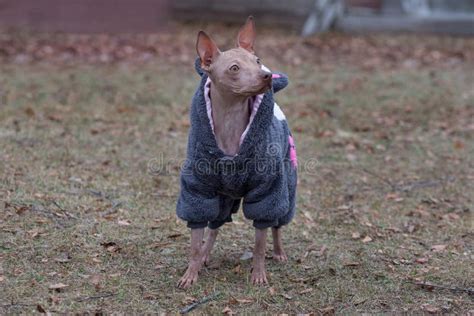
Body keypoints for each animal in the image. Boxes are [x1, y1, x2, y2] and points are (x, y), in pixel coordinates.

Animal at [176, 16, 298, 288]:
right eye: (234, 68)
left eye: (258, 60)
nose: (267, 76)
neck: (231, 124)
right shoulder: (199, 191)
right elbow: (195, 242)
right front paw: (191, 272)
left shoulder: (267, 192)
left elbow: (260, 242)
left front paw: (259, 274)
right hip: (223, 197)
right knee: (215, 226)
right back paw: (206, 255)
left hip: (287, 184)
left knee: (278, 224)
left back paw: (280, 252)